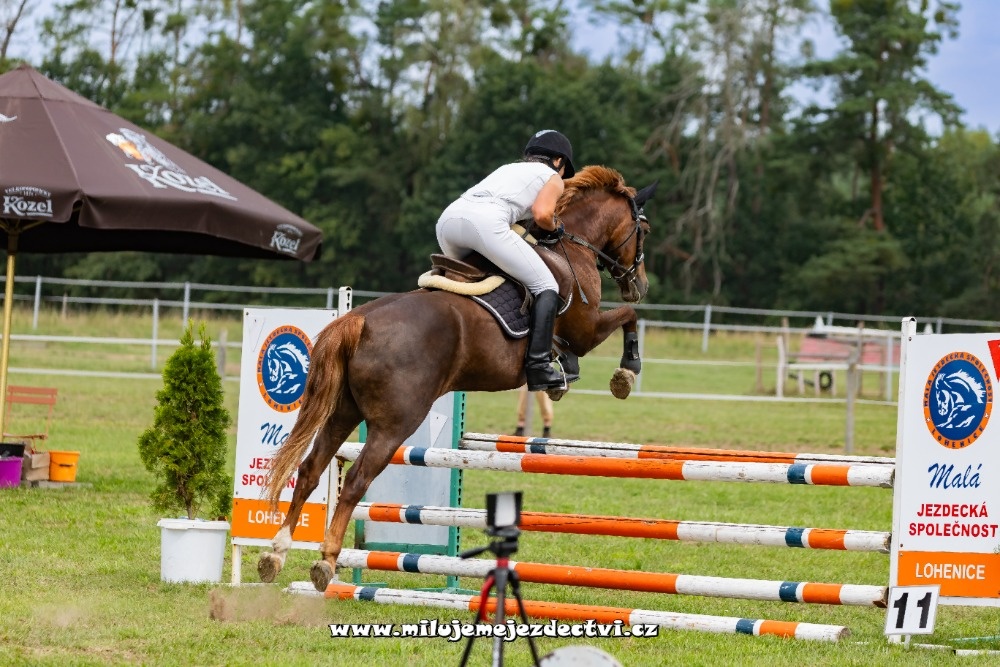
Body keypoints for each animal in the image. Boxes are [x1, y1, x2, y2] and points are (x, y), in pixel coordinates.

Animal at [259, 165, 656, 591]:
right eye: (644, 230)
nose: (640, 285)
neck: (573, 246)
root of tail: (359, 319)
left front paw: (562, 375)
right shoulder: (586, 328)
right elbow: (626, 317)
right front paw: (625, 374)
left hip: (344, 411)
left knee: (310, 469)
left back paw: (275, 554)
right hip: (394, 423)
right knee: (355, 480)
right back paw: (325, 561)